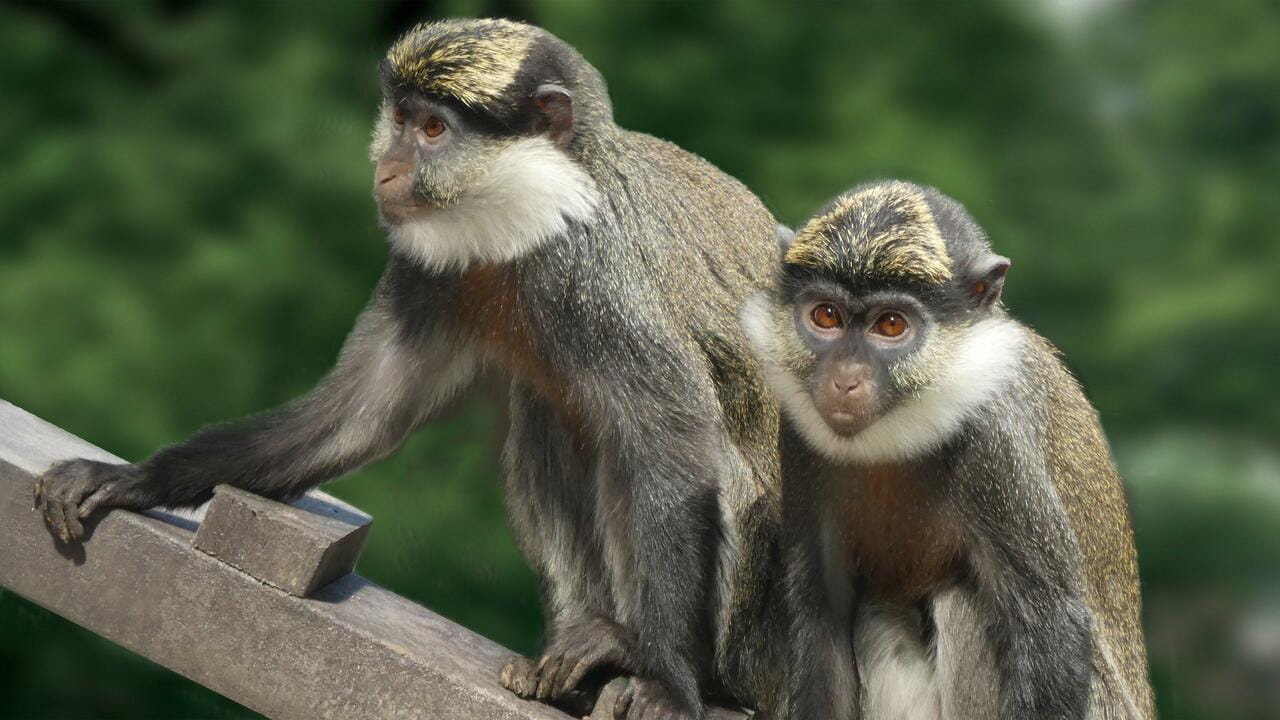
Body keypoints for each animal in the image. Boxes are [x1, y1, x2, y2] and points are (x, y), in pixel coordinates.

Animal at [31, 19, 787, 720]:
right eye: (399, 119)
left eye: (433, 129)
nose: (386, 172)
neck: (537, 213)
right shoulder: (428, 272)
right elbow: (362, 411)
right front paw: (131, 479)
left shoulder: (596, 278)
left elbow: (673, 447)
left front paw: (667, 683)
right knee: (550, 414)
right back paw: (587, 636)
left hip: (754, 646)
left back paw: (627, 649)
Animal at [739, 180, 1153, 719]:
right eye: (826, 315)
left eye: (891, 325)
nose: (844, 379)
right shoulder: (801, 439)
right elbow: (820, 611)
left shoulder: (995, 440)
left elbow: (1051, 623)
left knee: (962, 603)